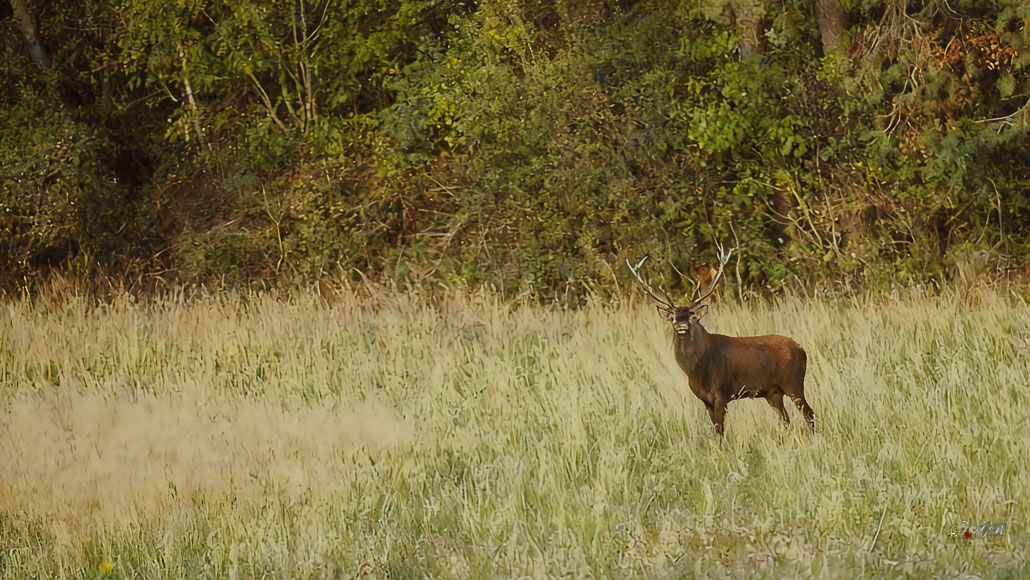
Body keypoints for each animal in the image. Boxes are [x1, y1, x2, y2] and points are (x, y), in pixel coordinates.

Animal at [627, 246, 815, 436]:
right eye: (672, 318)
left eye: (693, 316)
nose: (681, 326)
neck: (697, 370)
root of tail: (802, 350)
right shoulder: (705, 400)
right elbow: (717, 430)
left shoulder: (722, 392)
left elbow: (721, 430)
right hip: (773, 392)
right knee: (785, 418)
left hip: (793, 381)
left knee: (809, 413)